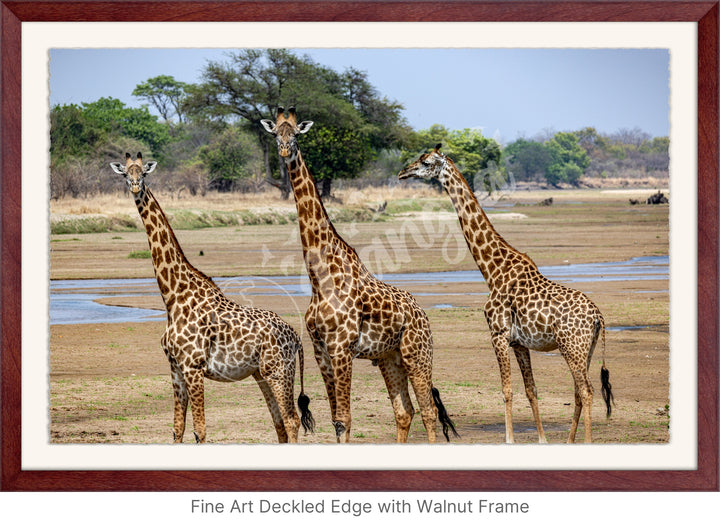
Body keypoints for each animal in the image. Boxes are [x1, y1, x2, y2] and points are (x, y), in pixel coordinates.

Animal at [109, 155, 312, 444]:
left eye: (144, 173)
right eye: (125, 174)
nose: (135, 187)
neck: (172, 297)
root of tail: (295, 337)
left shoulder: (193, 367)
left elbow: (200, 430)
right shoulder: (175, 368)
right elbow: (178, 429)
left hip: (279, 371)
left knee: (292, 420)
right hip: (261, 373)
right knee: (279, 424)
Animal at [262, 106, 458, 442]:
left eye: (297, 135)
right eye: (275, 133)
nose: (285, 151)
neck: (320, 279)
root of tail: (423, 314)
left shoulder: (342, 349)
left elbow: (345, 419)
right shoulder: (321, 351)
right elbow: (336, 419)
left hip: (417, 354)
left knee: (429, 411)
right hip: (390, 358)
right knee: (405, 411)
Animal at [400, 143, 612, 442]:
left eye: (426, 162)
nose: (403, 172)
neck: (492, 271)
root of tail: (597, 316)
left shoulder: (498, 335)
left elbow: (507, 390)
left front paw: (510, 438)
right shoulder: (519, 343)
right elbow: (531, 390)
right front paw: (542, 439)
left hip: (572, 346)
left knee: (587, 391)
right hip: (585, 349)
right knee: (578, 392)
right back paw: (569, 441)